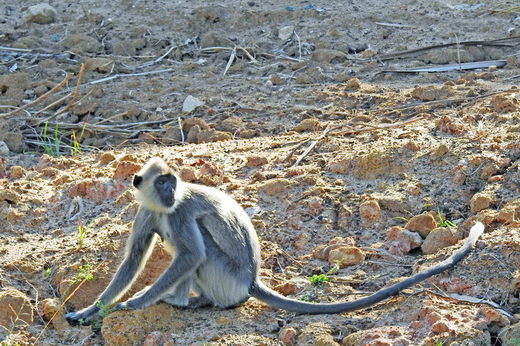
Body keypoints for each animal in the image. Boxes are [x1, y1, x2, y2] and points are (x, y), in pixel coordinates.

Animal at [64, 157, 484, 324]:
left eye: (173, 183)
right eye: (161, 182)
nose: (169, 191)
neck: (165, 206)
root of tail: (250, 281)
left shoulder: (179, 212)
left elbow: (191, 254)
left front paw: (134, 302)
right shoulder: (149, 212)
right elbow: (133, 259)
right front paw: (90, 311)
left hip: (225, 275)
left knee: (195, 251)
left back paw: (183, 301)